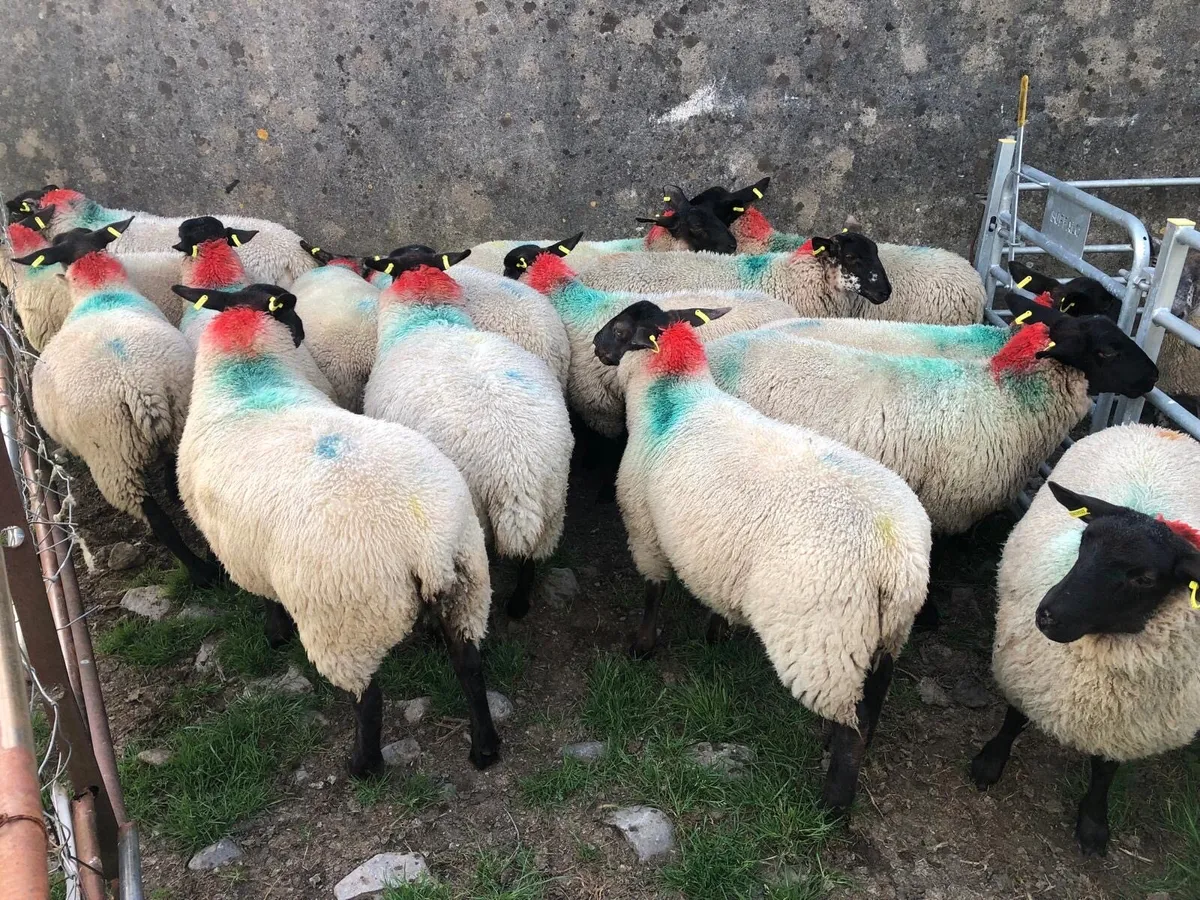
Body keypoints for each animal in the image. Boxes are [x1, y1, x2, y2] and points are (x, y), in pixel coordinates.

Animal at [10, 222, 218, 586]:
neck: (101, 292)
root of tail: (141, 390)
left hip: (112, 457)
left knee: (158, 520)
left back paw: (200, 572)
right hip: (180, 421)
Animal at [168, 282, 501, 777]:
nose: (302, 332)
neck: (249, 382)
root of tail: (425, 543)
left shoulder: (240, 551)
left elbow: (267, 598)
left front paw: (274, 635)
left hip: (346, 620)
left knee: (369, 698)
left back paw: (364, 766)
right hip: (468, 584)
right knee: (469, 666)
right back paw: (484, 747)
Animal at [362, 249, 573, 617]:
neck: (429, 318)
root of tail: (516, 473)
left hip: (476, 511)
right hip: (552, 501)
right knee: (531, 558)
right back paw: (519, 604)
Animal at [592, 299, 931, 816]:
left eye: (619, 330)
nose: (594, 345)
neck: (673, 395)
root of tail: (898, 564)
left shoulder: (644, 526)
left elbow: (653, 590)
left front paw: (642, 646)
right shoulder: (711, 548)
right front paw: (715, 631)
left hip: (823, 641)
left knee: (853, 732)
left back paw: (831, 808)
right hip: (885, 637)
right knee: (867, 713)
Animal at [971, 423, 1200, 856]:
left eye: (1145, 578)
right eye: (1085, 540)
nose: (1047, 614)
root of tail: (1160, 428)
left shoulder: (1125, 725)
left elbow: (1105, 769)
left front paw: (1093, 824)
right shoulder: (1026, 667)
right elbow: (1014, 717)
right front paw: (989, 763)